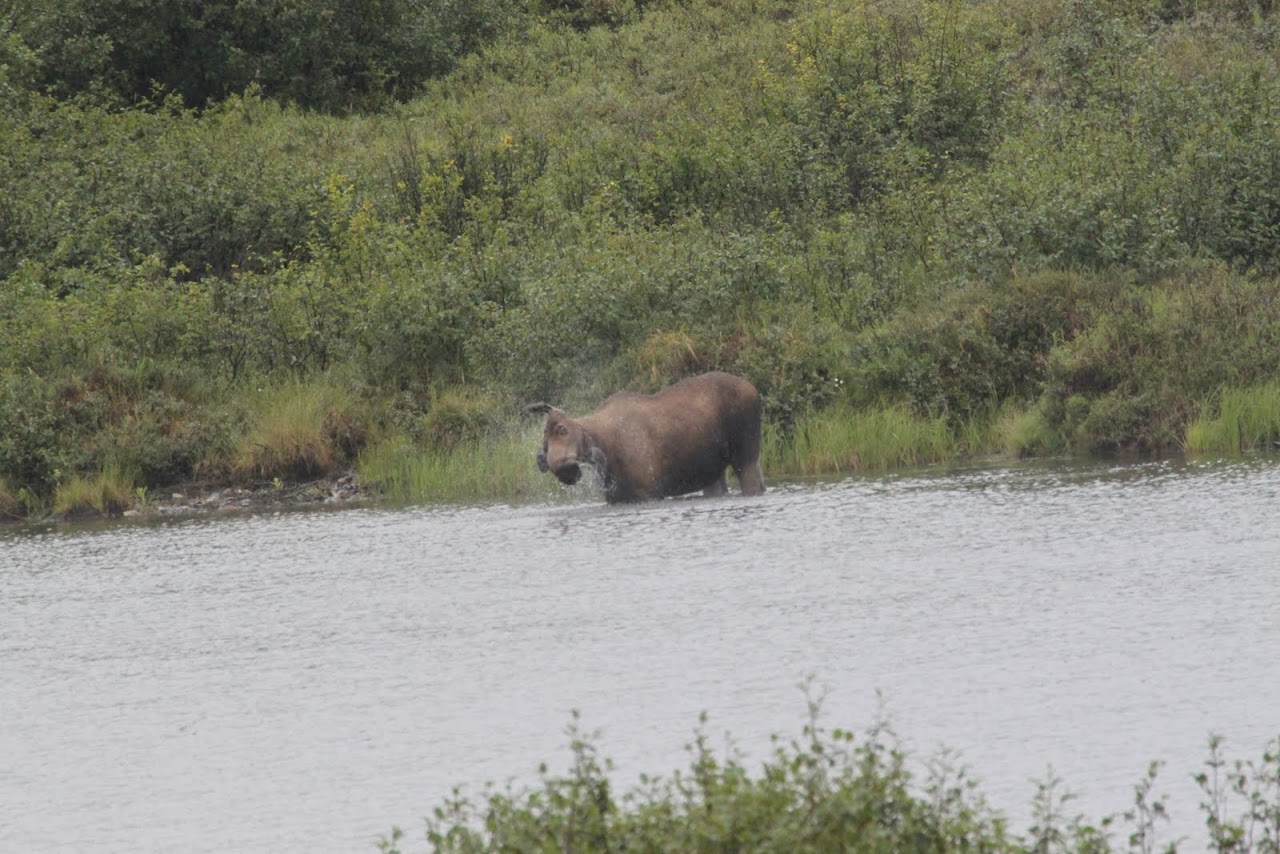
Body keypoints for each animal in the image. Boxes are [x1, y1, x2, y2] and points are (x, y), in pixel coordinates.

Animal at [524, 371, 762, 504]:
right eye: (544, 442)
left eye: (562, 429)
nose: (566, 470)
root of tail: (756, 391)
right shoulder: (618, 498)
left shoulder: (650, 493)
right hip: (712, 471)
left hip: (746, 454)